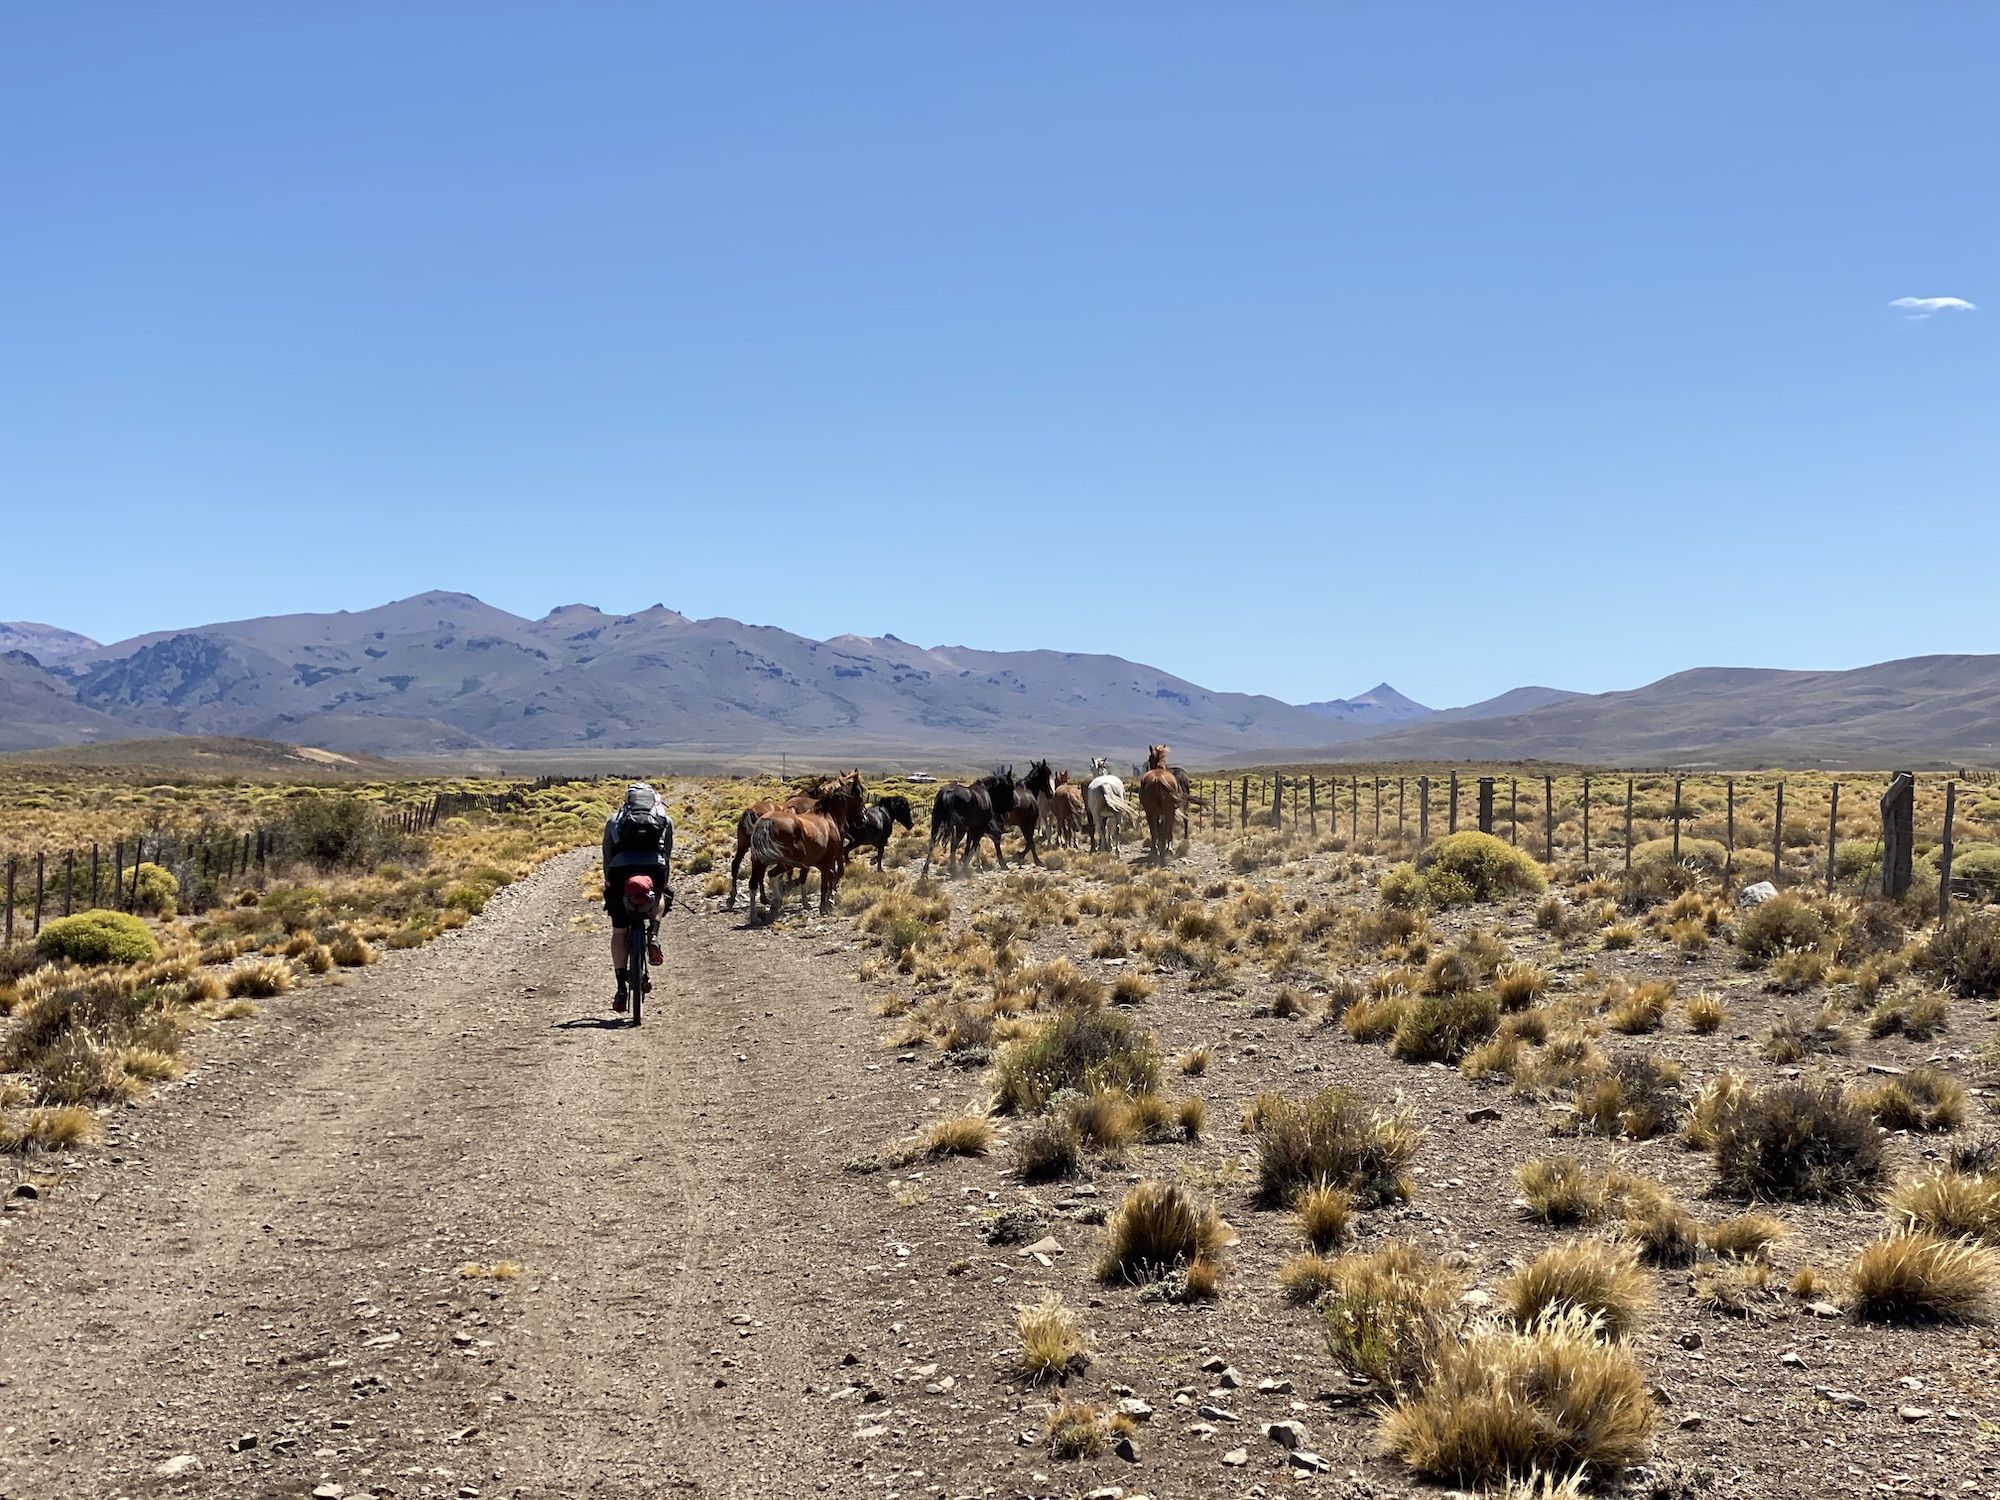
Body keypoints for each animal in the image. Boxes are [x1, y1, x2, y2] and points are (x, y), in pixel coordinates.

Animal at [748, 776, 864, 928]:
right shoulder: (828, 859)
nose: (863, 818)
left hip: (759, 862)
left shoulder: (819, 862)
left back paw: (755, 916)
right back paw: (775, 903)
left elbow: (828, 877)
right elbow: (828, 880)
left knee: (754, 884)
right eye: (860, 797)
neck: (827, 817)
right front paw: (825, 906)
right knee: (772, 875)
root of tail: (765, 822)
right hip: (787, 862)